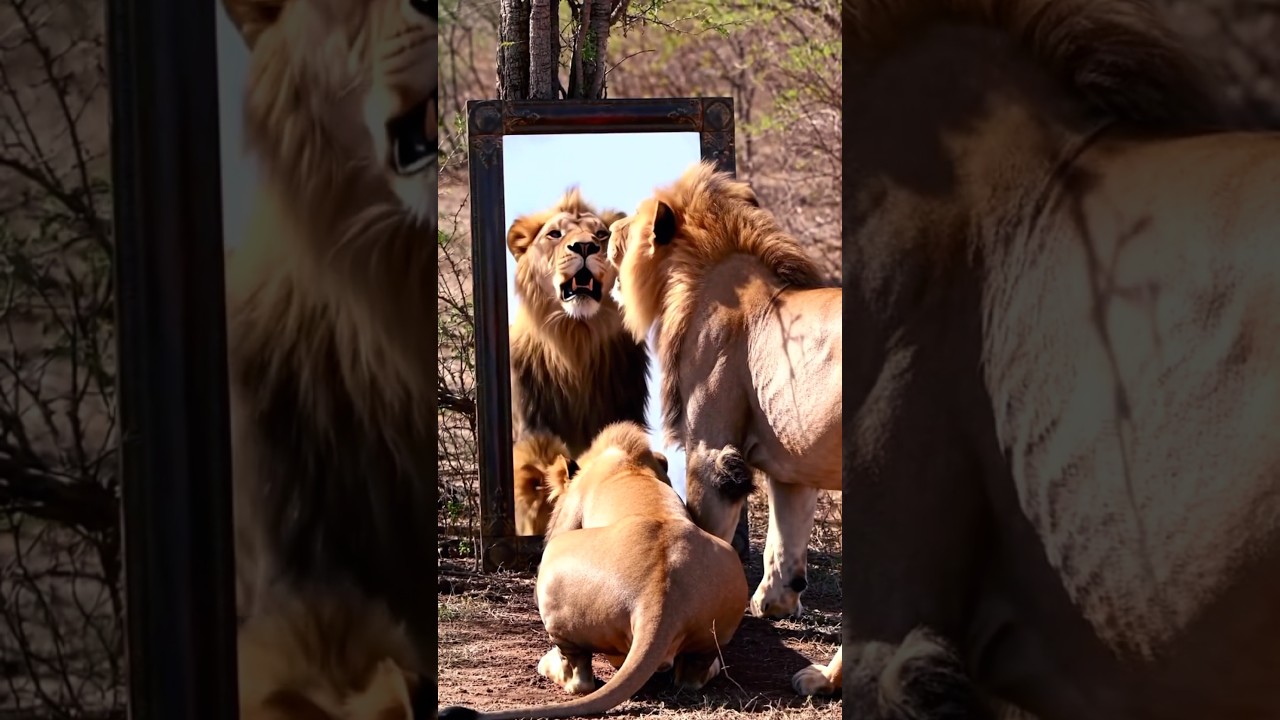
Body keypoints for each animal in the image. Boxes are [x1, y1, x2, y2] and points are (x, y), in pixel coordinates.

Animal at [438, 422, 747, 720]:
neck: (630, 464)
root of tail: (659, 597)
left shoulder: (567, 516)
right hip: (722, 597)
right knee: (692, 675)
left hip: (555, 561)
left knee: (579, 678)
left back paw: (547, 664)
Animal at [607, 162, 843, 696]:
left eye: (630, 224)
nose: (603, 231)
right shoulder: (793, 461)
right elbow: (784, 541)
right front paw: (773, 602)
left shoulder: (711, 455)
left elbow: (705, 536)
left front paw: (694, 663)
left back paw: (824, 677)